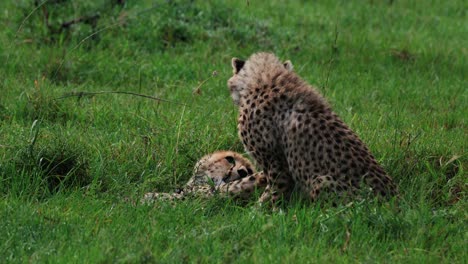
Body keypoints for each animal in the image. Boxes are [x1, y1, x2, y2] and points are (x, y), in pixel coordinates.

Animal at [229, 51, 396, 204]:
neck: (265, 78)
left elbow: (273, 194)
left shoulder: (276, 165)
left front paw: (258, 212)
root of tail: (394, 201)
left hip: (322, 181)